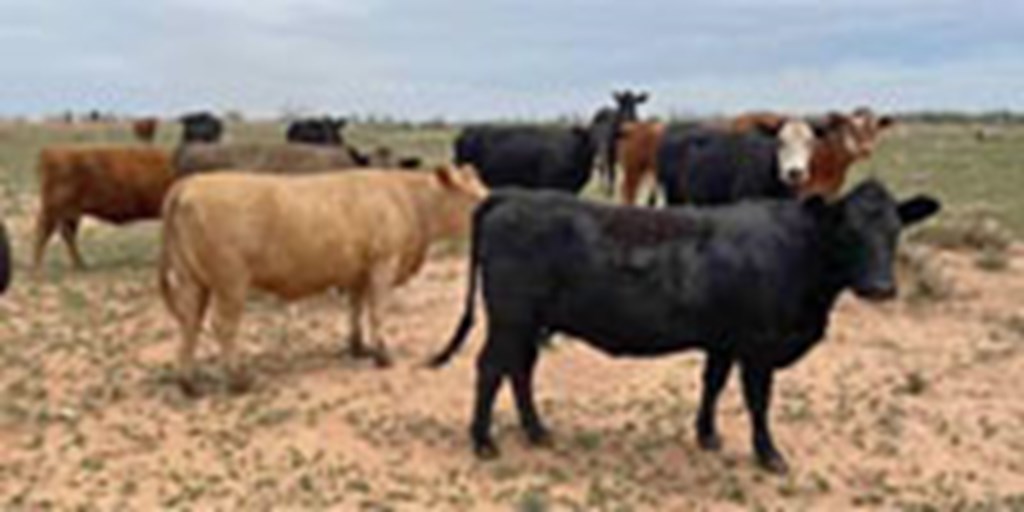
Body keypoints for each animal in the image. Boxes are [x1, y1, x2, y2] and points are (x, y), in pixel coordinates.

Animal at [33, 145, 174, 271]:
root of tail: (49, 152)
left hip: (71, 214)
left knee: (67, 234)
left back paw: (80, 265)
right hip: (53, 210)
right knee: (44, 233)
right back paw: (38, 269)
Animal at [159, 165, 488, 396]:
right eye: (474, 197)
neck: (408, 199)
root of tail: (190, 183)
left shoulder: (358, 271)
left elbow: (356, 308)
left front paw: (358, 347)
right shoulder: (383, 264)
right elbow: (377, 311)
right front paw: (383, 355)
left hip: (192, 280)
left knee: (189, 323)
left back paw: (188, 384)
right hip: (231, 282)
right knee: (224, 326)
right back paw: (239, 380)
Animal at [429, 179, 940, 473]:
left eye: (895, 231)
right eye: (848, 230)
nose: (881, 287)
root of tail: (512, 195)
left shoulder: (724, 341)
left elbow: (712, 384)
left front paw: (707, 435)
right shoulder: (759, 346)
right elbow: (758, 401)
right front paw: (769, 455)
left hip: (532, 322)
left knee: (520, 370)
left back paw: (537, 431)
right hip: (510, 318)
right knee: (490, 369)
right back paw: (484, 442)